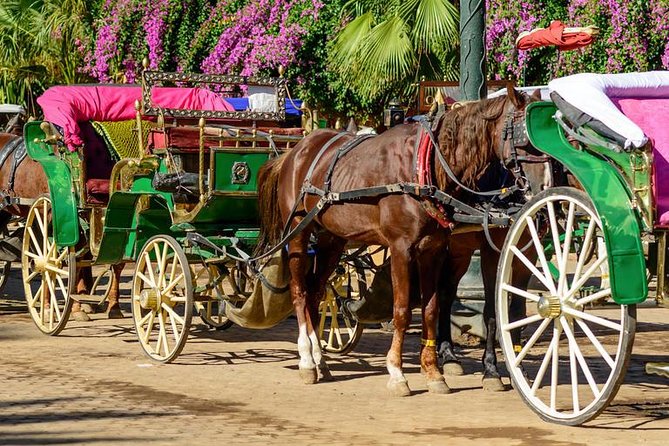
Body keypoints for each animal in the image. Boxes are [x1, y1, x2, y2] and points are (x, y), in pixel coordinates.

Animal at [256, 85, 538, 395]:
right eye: (525, 139)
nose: (537, 191)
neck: (424, 169)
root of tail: (294, 152)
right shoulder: (402, 249)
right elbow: (402, 311)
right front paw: (397, 373)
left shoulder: (433, 250)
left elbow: (430, 309)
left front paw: (434, 373)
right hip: (298, 232)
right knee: (299, 292)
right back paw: (307, 359)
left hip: (332, 239)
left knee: (317, 293)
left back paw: (321, 360)